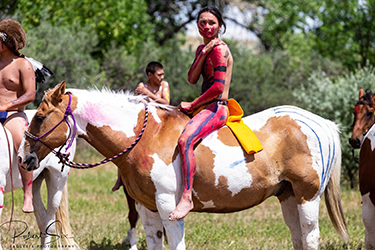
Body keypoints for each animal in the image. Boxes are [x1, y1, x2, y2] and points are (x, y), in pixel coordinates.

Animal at [21, 81, 350, 249]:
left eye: (40, 117)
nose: (25, 159)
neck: (146, 136)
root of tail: (321, 123)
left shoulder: (169, 208)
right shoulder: (147, 210)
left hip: (307, 197)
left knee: (310, 236)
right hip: (288, 196)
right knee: (298, 237)